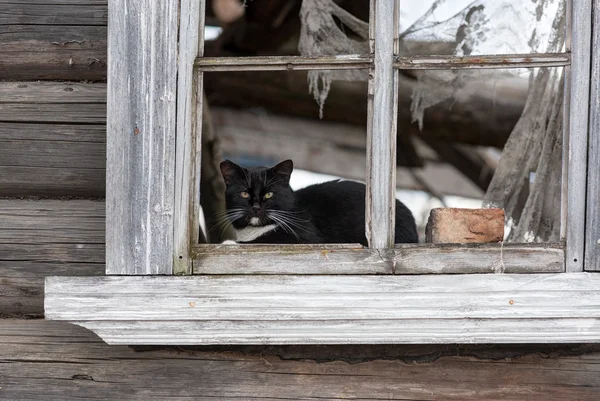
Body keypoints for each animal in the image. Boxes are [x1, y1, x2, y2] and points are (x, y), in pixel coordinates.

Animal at [218, 159, 420, 244]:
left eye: (269, 194)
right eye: (244, 194)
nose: (255, 207)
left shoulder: (305, 236)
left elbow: (267, 240)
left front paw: (229, 243)